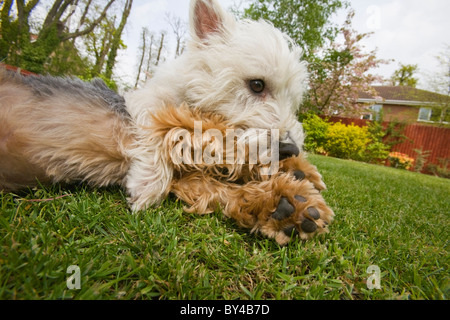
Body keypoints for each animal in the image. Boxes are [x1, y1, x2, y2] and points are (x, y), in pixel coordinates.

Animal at [0, 0, 334, 245]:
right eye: (256, 85)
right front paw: (147, 184)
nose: (290, 149)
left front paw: (291, 188)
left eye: (294, 102)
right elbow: (157, 133)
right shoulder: (146, 107)